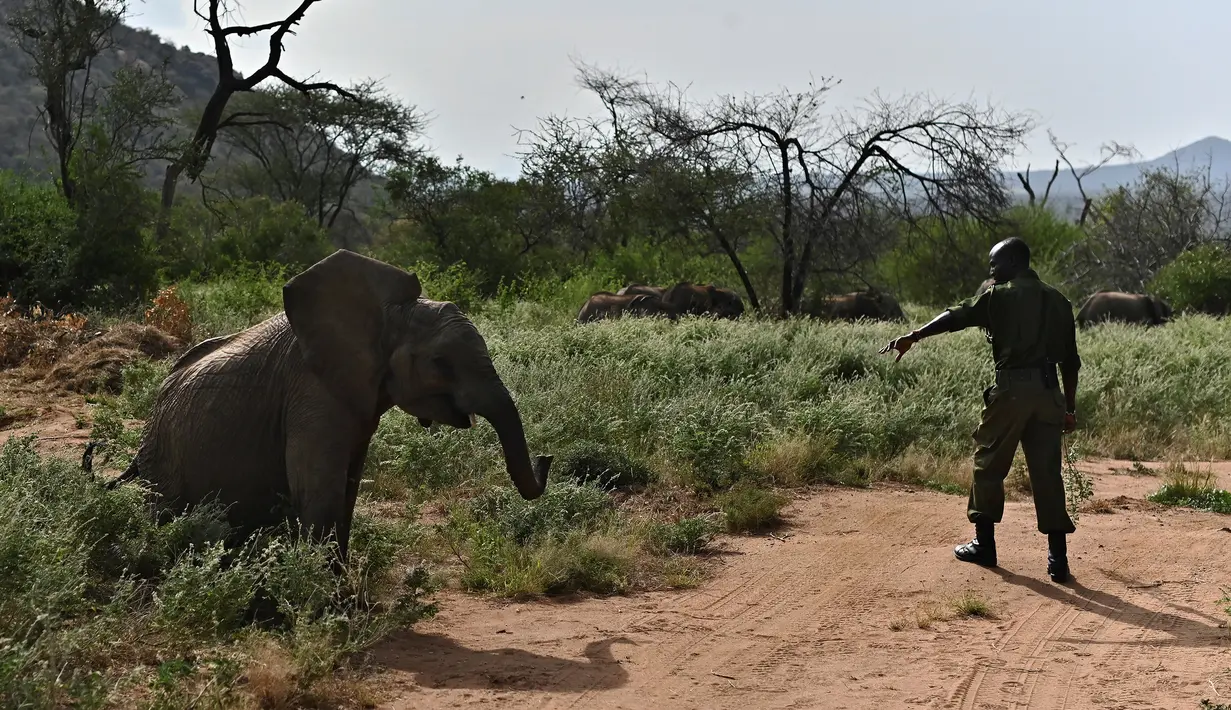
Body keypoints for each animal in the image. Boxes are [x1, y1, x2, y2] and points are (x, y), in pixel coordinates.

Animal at [105, 250, 551, 561]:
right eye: (441, 363)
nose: (546, 458)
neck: (387, 315)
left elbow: (347, 491)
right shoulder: (311, 391)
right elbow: (319, 492)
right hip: (162, 459)